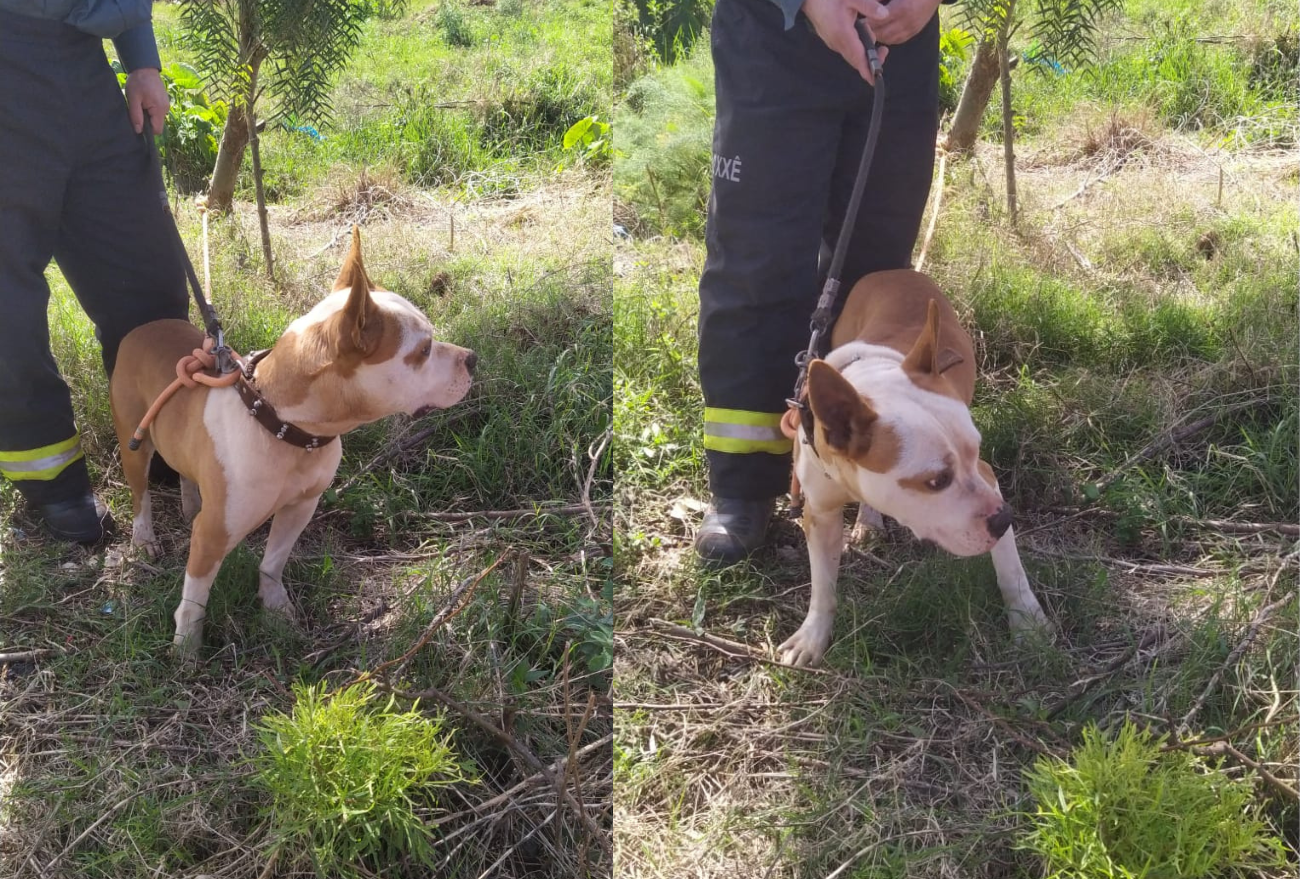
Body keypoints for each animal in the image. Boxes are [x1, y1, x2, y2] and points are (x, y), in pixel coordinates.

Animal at [110, 226, 478, 652]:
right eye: (423, 350)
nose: (472, 359)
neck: (283, 428)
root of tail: (142, 329)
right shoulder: (213, 534)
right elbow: (194, 600)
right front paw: (186, 647)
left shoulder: (301, 506)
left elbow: (273, 561)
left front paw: (274, 607)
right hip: (134, 443)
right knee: (140, 494)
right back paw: (144, 538)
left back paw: (190, 503)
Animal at [774, 267, 1050, 665]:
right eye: (936, 481)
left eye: (976, 450)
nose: (1004, 518)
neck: (872, 381)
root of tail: (894, 271)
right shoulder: (820, 514)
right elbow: (823, 586)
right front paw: (812, 637)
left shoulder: (986, 477)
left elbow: (1010, 569)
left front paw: (1027, 622)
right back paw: (869, 519)